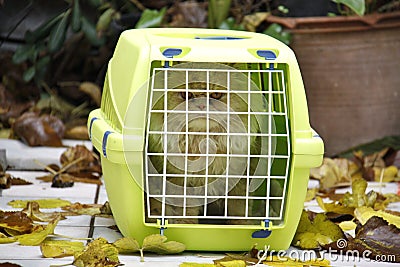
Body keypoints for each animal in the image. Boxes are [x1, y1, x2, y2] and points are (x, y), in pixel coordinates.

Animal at [144, 62, 272, 224]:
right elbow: (186, 210)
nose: (201, 105)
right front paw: (185, 225)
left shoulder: (240, 181)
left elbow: (239, 209)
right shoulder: (182, 182)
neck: (204, 141)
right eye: (186, 95)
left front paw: (241, 226)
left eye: (216, 95)